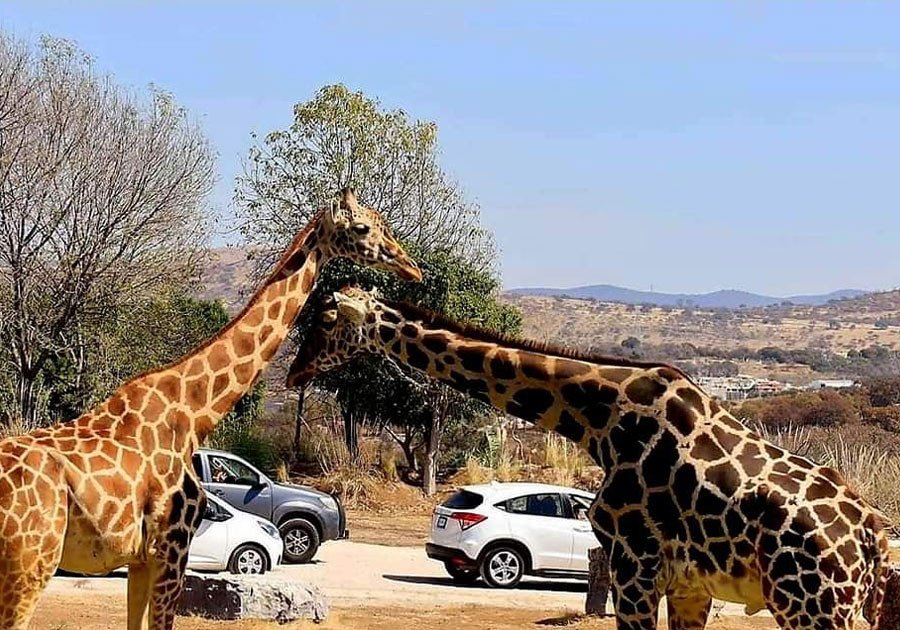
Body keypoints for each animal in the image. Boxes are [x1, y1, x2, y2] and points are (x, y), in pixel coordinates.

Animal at [0, 191, 422, 630]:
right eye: (362, 228)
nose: (412, 268)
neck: (196, 411)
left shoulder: (141, 557)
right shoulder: (172, 546)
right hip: (31, 561)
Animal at [286, 290, 884, 630]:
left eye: (328, 319)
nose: (294, 370)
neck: (598, 421)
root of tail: (871, 535)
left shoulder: (634, 565)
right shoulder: (687, 584)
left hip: (811, 603)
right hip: (848, 605)